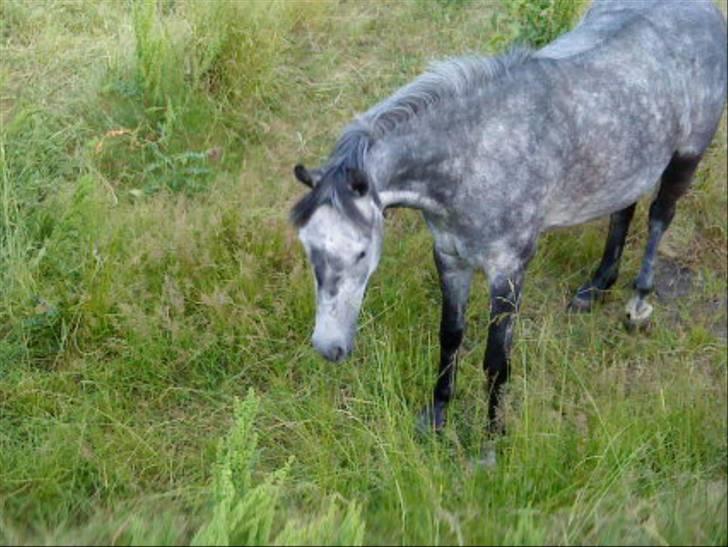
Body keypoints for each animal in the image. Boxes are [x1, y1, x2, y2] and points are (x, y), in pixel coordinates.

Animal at [288, 0, 724, 434]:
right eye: (307, 248)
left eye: (362, 252)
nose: (329, 347)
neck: (474, 156)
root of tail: (706, 11)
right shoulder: (450, 257)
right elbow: (450, 336)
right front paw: (438, 415)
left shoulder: (508, 270)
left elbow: (496, 361)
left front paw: (492, 437)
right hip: (623, 163)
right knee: (623, 210)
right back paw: (596, 287)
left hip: (686, 155)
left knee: (659, 217)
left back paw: (637, 305)